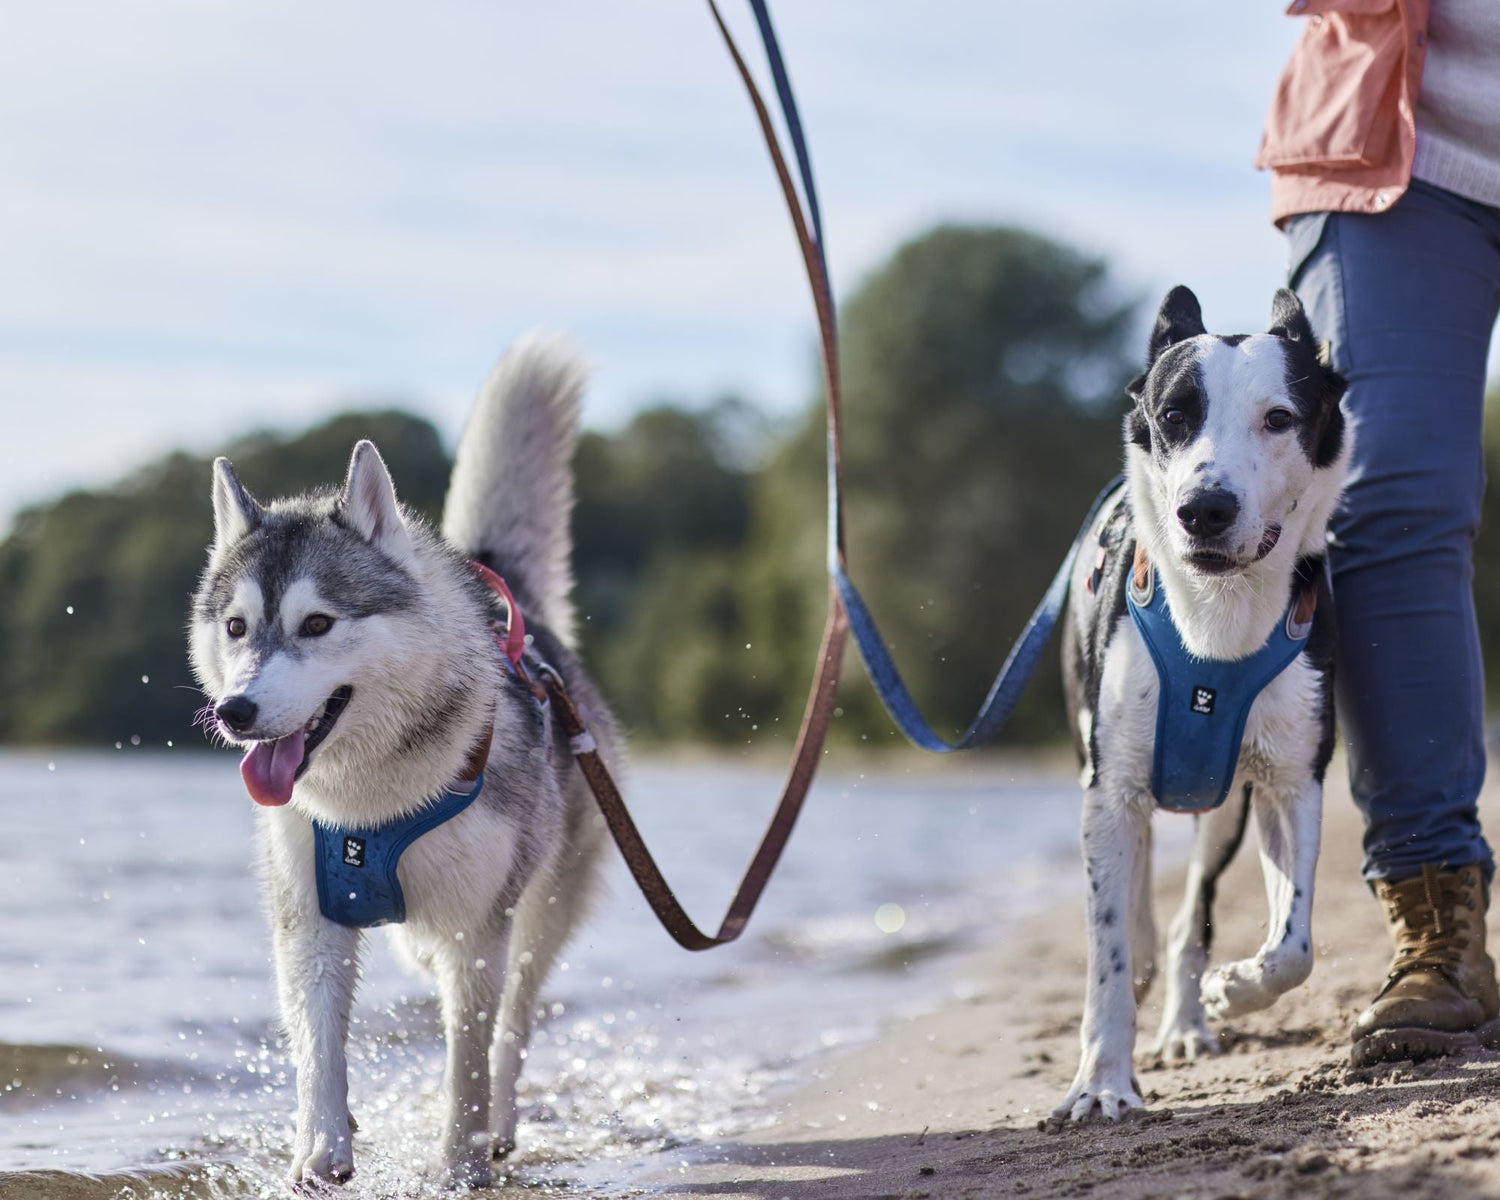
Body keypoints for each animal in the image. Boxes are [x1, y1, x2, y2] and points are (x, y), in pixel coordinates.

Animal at [189, 340, 615, 1188]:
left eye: (317, 624)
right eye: (237, 627)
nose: (237, 712)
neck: (367, 805)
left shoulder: (477, 931)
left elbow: (468, 1060)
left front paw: (457, 1165)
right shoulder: (308, 914)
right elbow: (317, 1044)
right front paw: (321, 1149)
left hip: (541, 911)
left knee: (513, 1028)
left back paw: (500, 1132)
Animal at [1056, 288, 1350, 1128]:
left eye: (1279, 418)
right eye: (1173, 416)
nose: (1204, 509)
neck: (1220, 617)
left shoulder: (1293, 780)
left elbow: (1295, 943)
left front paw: (1235, 988)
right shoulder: (1109, 785)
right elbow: (1106, 944)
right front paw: (1102, 1084)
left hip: (1224, 808)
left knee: (1192, 913)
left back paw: (1188, 1020)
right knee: (1137, 897)